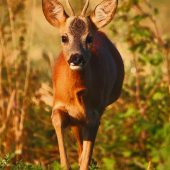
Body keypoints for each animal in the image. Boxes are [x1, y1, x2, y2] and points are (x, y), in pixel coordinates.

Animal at [41, 0, 124, 169]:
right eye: (64, 37)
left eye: (89, 38)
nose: (76, 58)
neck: (76, 95)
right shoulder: (58, 104)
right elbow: (57, 120)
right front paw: (65, 164)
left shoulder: (94, 115)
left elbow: (86, 158)